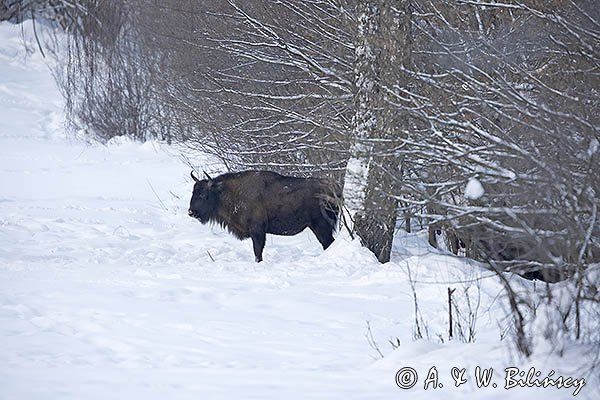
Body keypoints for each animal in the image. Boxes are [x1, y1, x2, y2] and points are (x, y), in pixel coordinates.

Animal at [188, 170, 340, 260]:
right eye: (193, 192)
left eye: (203, 195)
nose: (191, 212)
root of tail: (333, 189)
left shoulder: (257, 231)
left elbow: (258, 251)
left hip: (320, 226)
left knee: (328, 242)